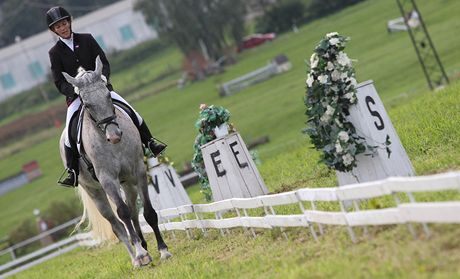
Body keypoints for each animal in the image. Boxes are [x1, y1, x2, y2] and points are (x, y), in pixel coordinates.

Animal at [58, 56, 171, 266]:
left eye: (108, 97)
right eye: (87, 105)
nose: (114, 136)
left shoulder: (138, 171)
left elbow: (148, 212)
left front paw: (163, 250)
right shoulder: (107, 179)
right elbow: (122, 213)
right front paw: (141, 255)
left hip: (128, 182)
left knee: (133, 210)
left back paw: (144, 245)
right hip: (95, 191)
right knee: (117, 224)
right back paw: (136, 257)